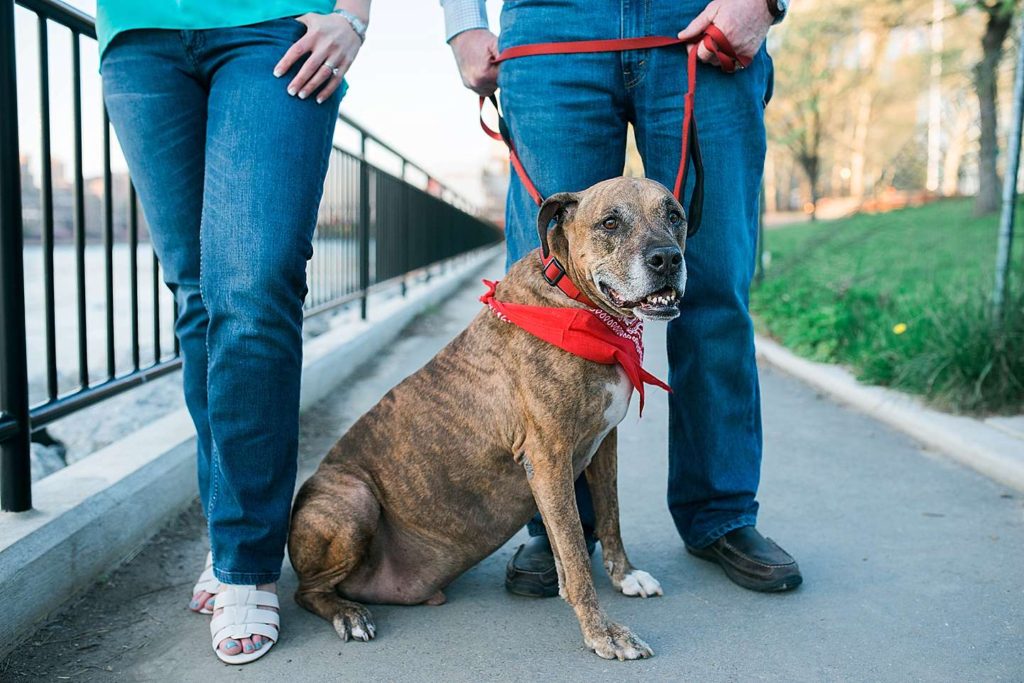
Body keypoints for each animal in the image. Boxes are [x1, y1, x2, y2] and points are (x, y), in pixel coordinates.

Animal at [288, 176, 688, 663]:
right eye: (610, 222)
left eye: (675, 216)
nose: (667, 258)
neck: (579, 306)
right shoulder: (549, 459)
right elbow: (575, 554)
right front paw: (604, 633)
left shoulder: (603, 443)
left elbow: (609, 515)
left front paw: (625, 576)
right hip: (352, 499)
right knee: (307, 592)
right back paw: (348, 615)